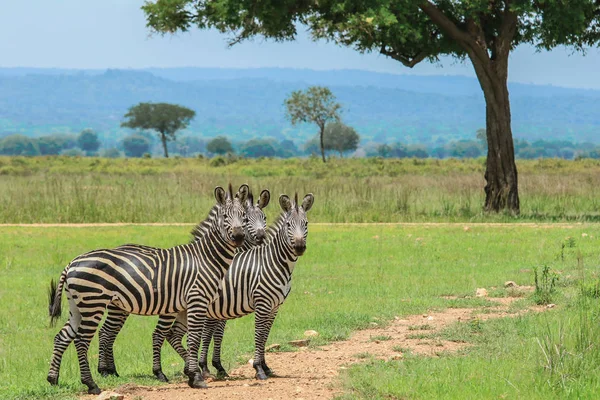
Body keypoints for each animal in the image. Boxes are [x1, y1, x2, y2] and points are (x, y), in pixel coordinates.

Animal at [46, 184, 248, 394]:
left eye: (244, 216)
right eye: (225, 216)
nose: (239, 237)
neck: (207, 257)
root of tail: (72, 263)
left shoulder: (186, 305)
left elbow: (187, 338)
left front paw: (192, 375)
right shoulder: (197, 300)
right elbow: (194, 338)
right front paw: (197, 377)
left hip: (76, 306)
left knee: (62, 336)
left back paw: (53, 379)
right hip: (93, 304)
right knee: (81, 340)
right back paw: (91, 384)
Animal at [96, 188, 272, 382]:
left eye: (264, 217)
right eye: (247, 219)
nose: (262, 237)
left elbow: (209, 334)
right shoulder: (215, 307)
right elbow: (211, 334)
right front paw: (209, 367)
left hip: (121, 306)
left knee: (108, 332)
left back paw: (112, 371)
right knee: (107, 332)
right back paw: (106, 370)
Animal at [166, 192, 314, 380]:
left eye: (306, 224)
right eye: (288, 224)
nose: (300, 247)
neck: (275, 262)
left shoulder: (274, 307)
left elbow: (265, 335)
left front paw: (265, 367)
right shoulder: (261, 303)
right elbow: (258, 334)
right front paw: (258, 369)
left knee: (173, 335)